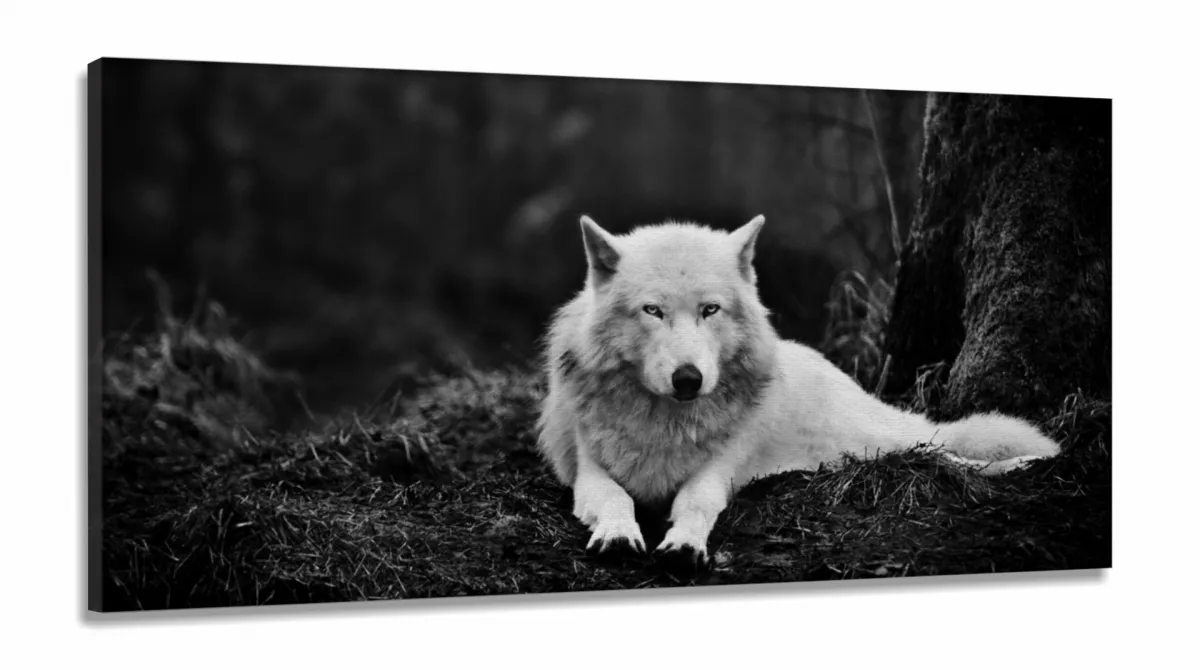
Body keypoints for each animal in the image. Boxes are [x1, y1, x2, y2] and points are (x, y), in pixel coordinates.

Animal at [535, 214, 1061, 573]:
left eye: (710, 310)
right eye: (652, 310)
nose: (688, 379)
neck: (666, 423)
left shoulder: (718, 470)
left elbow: (696, 504)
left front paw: (684, 544)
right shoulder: (589, 472)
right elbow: (615, 500)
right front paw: (619, 535)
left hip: (878, 444)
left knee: (946, 453)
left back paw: (1027, 463)